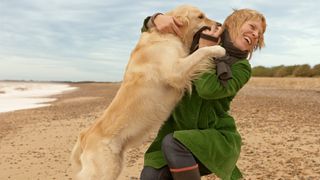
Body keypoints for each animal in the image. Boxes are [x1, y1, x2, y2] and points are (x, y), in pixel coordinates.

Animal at [70, 4, 225, 180]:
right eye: (200, 17)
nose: (220, 24)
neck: (168, 34)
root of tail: (84, 136)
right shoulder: (174, 72)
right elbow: (200, 52)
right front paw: (218, 49)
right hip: (104, 171)